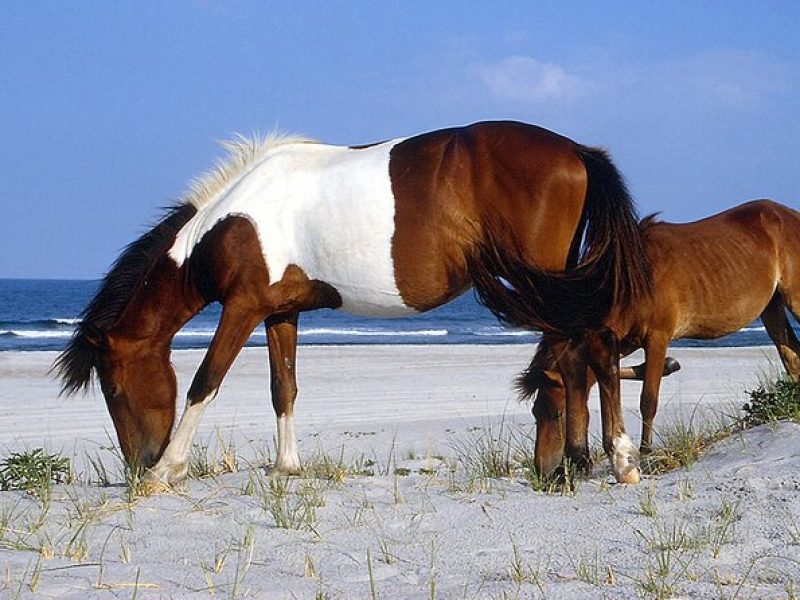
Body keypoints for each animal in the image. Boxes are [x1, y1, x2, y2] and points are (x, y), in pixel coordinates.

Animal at [56, 120, 652, 488]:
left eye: (112, 385)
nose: (138, 465)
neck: (232, 221)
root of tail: (575, 150)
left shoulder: (242, 308)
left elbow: (206, 381)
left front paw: (169, 471)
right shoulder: (279, 312)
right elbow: (283, 387)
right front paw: (286, 468)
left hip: (555, 286)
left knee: (597, 351)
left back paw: (620, 459)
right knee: (575, 362)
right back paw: (571, 463)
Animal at [512, 202, 800, 478]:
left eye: (557, 413)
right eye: (535, 412)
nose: (542, 470)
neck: (632, 281)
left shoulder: (657, 338)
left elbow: (647, 400)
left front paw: (646, 452)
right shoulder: (617, 343)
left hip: (793, 301)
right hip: (771, 309)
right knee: (791, 357)